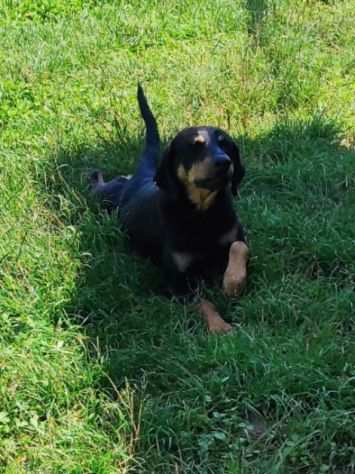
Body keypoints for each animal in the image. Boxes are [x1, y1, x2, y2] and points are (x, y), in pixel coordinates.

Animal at [90, 84, 249, 334]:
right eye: (195, 146)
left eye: (225, 144)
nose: (225, 162)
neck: (202, 214)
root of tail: (141, 177)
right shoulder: (177, 283)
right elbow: (204, 303)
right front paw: (220, 326)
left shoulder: (235, 236)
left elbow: (239, 246)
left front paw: (233, 281)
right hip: (104, 196)